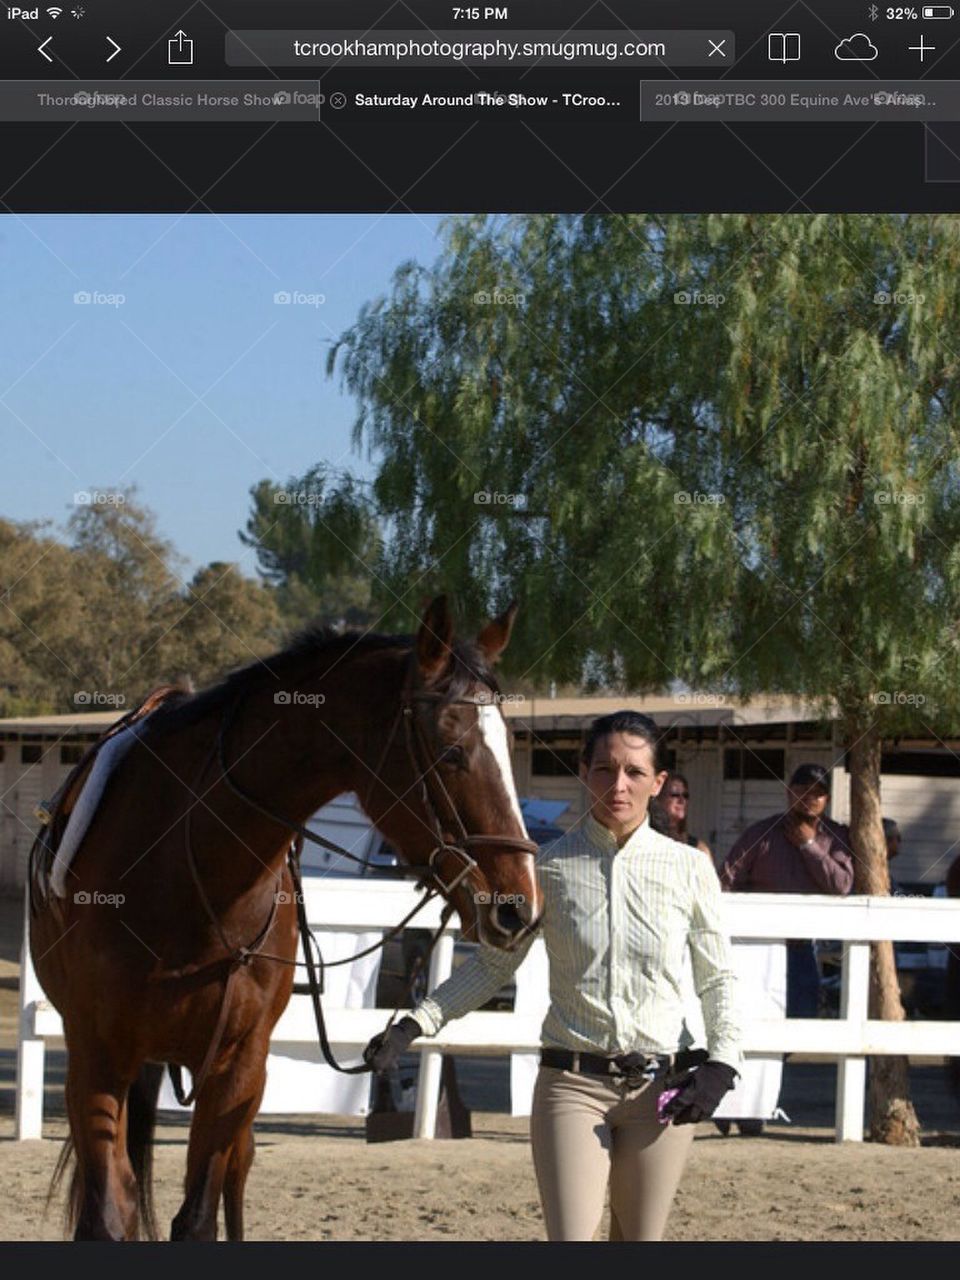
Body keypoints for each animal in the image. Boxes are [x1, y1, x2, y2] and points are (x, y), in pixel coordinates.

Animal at [29, 595, 541, 1240]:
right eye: (451, 752)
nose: (519, 907)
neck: (186, 874)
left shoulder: (238, 1070)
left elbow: (198, 1218)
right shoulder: (96, 1059)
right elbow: (107, 1216)